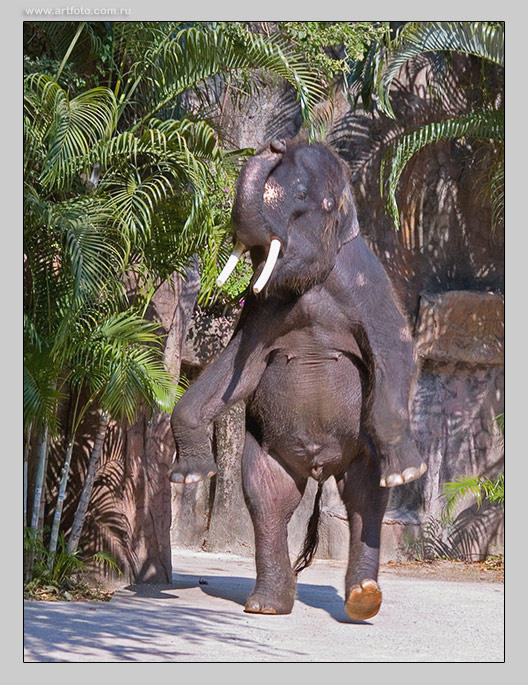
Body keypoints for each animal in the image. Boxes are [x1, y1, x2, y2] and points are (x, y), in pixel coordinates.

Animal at [169, 137, 426, 620]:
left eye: (307, 197)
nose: (274, 144)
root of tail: (321, 468)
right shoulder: (260, 310)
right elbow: (235, 370)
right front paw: (189, 478)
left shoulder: (367, 283)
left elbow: (395, 351)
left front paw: (407, 472)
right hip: (267, 453)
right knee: (269, 500)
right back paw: (267, 606)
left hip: (358, 452)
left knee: (365, 498)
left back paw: (363, 601)